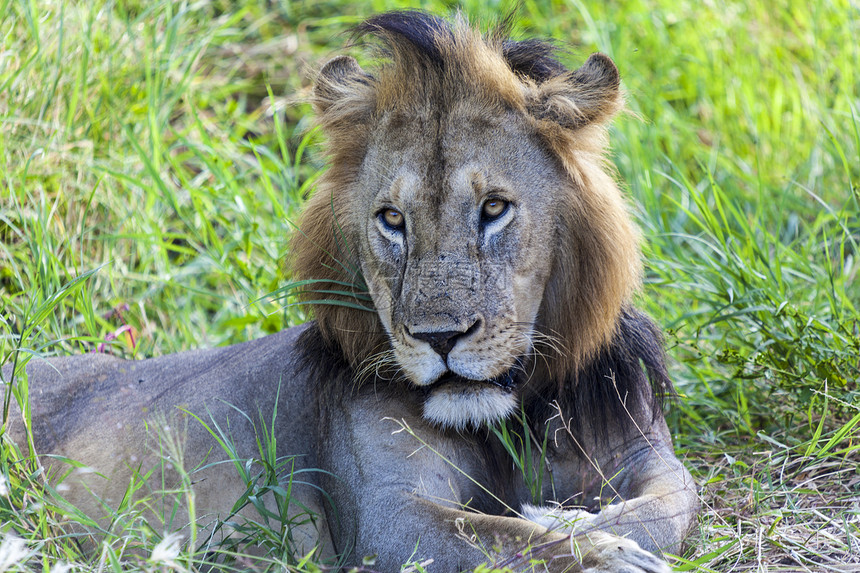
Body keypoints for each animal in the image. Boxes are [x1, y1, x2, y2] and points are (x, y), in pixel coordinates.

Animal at [0, 10, 700, 572]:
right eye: (392, 219)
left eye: (495, 208)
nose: (439, 338)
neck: (507, 418)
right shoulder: (387, 517)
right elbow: (504, 538)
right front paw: (599, 552)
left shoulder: (644, 453)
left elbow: (671, 505)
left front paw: (588, 524)